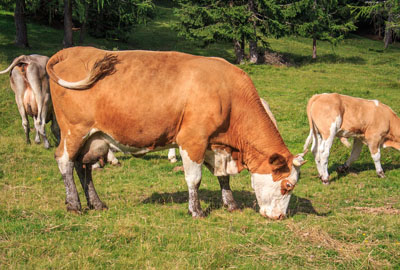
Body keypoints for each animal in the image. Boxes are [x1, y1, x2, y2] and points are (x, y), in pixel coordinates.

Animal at [46, 46, 306, 219]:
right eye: (288, 186)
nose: (280, 217)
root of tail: (73, 50)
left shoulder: (214, 145)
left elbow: (223, 177)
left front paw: (230, 203)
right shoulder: (193, 140)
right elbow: (194, 178)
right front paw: (196, 210)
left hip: (94, 138)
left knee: (83, 166)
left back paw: (96, 204)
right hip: (74, 131)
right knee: (65, 161)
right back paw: (74, 205)